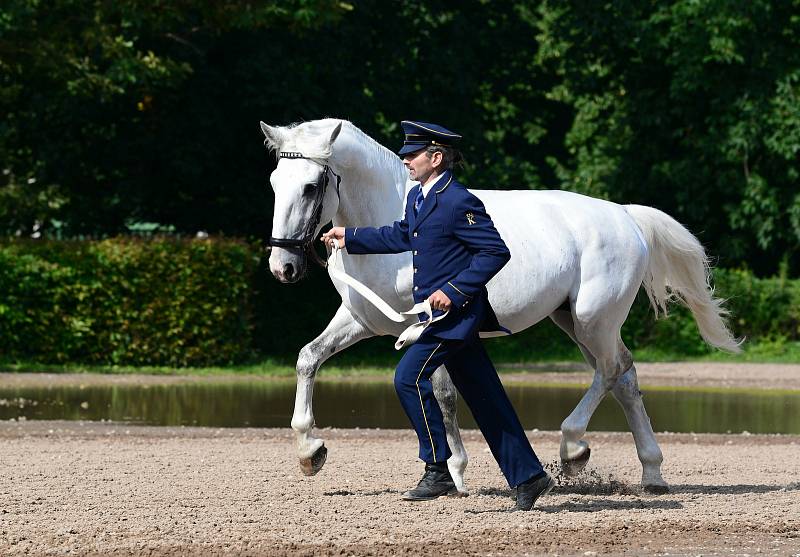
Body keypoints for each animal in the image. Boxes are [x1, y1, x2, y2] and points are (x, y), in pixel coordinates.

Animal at [260, 119, 740, 494]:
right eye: (274, 182)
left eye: (312, 186)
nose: (283, 267)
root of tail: (624, 215)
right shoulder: (361, 320)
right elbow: (308, 358)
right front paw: (310, 452)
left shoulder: (427, 324)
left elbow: (441, 395)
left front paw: (453, 474)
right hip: (575, 322)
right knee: (624, 377)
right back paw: (651, 473)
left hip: (593, 320)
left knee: (610, 371)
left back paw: (573, 448)